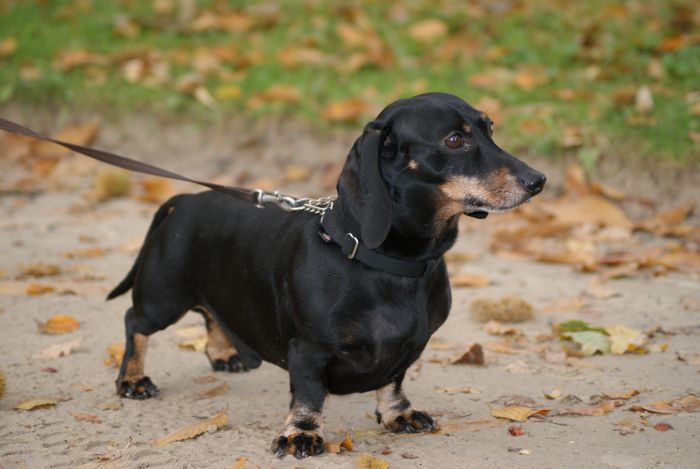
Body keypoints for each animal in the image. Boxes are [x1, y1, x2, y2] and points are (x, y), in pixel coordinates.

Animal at [109, 91, 548, 458]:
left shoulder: (411, 346)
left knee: (210, 314)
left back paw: (224, 353)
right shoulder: (308, 349)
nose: (538, 181)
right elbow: (308, 395)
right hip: (163, 297)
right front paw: (301, 433)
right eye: (454, 141)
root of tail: (184, 198)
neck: (388, 265)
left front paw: (398, 413)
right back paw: (133, 380)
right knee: (134, 323)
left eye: (490, 129)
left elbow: (393, 381)